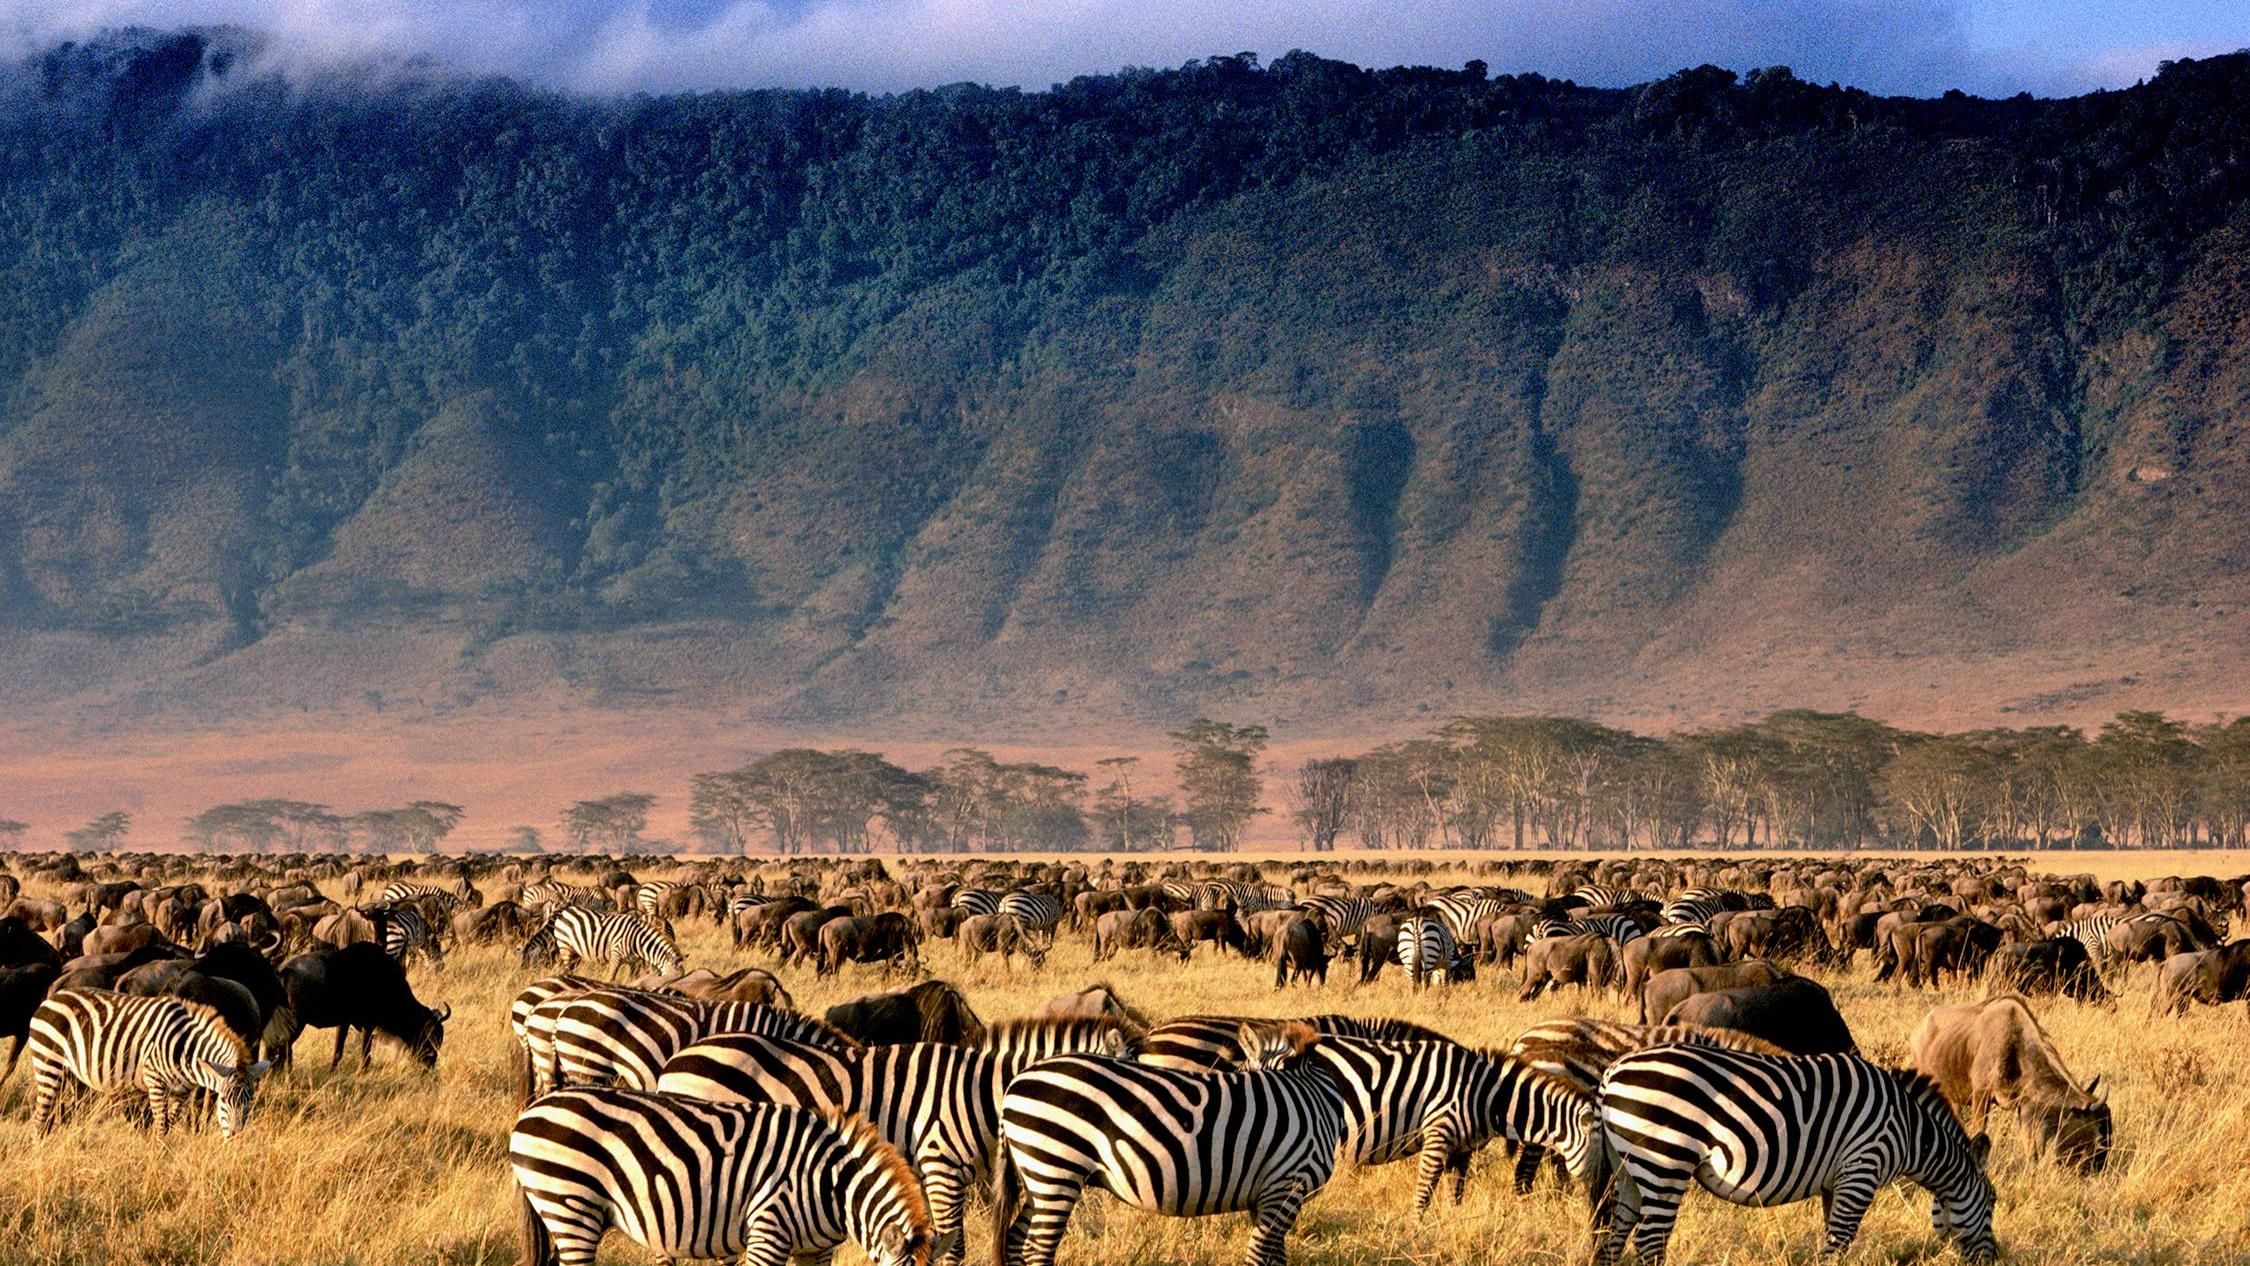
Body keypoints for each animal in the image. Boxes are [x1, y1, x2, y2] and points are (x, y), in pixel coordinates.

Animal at [29, 988, 270, 1138]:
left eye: (250, 1102)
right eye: (223, 1101)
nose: (236, 1136)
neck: (186, 1050)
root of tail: (53, 997)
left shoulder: (182, 1092)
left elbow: (170, 1124)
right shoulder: (155, 1082)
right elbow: (161, 1126)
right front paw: (157, 1161)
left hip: (71, 1075)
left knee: (63, 1111)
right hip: (48, 1063)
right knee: (40, 1118)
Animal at [539, 906, 684, 980]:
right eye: (674, 979)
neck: (638, 941)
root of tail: (566, 910)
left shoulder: (634, 962)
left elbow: (633, 978)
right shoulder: (616, 955)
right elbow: (611, 978)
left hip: (575, 952)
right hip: (565, 946)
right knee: (567, 968)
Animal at [994, 1021, 1347, 1266]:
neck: (1317, 1098)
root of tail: (1015, 1082)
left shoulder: (1268, 1194)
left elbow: (1276, 1256)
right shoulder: (1287, 1185)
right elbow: (1260, 1256)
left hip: (1039, 1176)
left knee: (1016, 1240)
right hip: (1056, 1170)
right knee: (1037, 1248)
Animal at [1593, 1043, 1998, 1266]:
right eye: (1993, 1202)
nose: (1995, 1258)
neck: (1910, 1131)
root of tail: (1612, 1071)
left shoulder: (1838, 1180)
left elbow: (1833, 1236)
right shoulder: (1862, 1167)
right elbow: (1839, 1240)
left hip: (1628, 1167)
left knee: (1615, 1234)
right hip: (1665, 1160)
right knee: (1650, 1242)